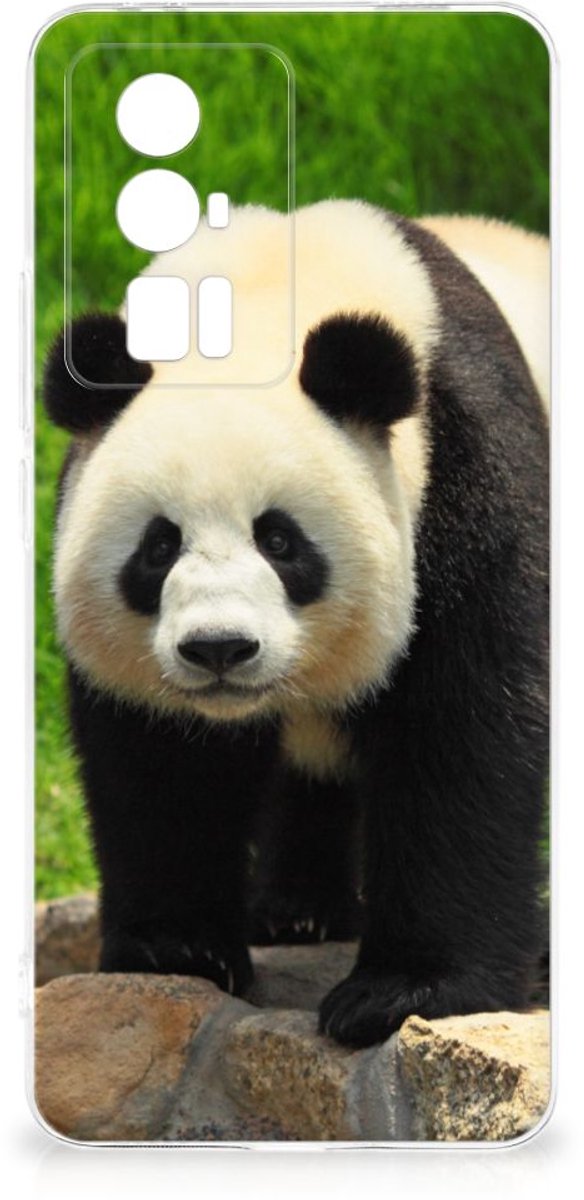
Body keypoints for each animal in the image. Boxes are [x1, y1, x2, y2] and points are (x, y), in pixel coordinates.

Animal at [43, 201, 549, 1048]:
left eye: (280, 541)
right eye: (158, 546)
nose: (219, 648)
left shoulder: (468, 474)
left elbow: (465, 730)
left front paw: (403, 991)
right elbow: (161, 761)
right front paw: (177, 949)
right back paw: (298, 911)